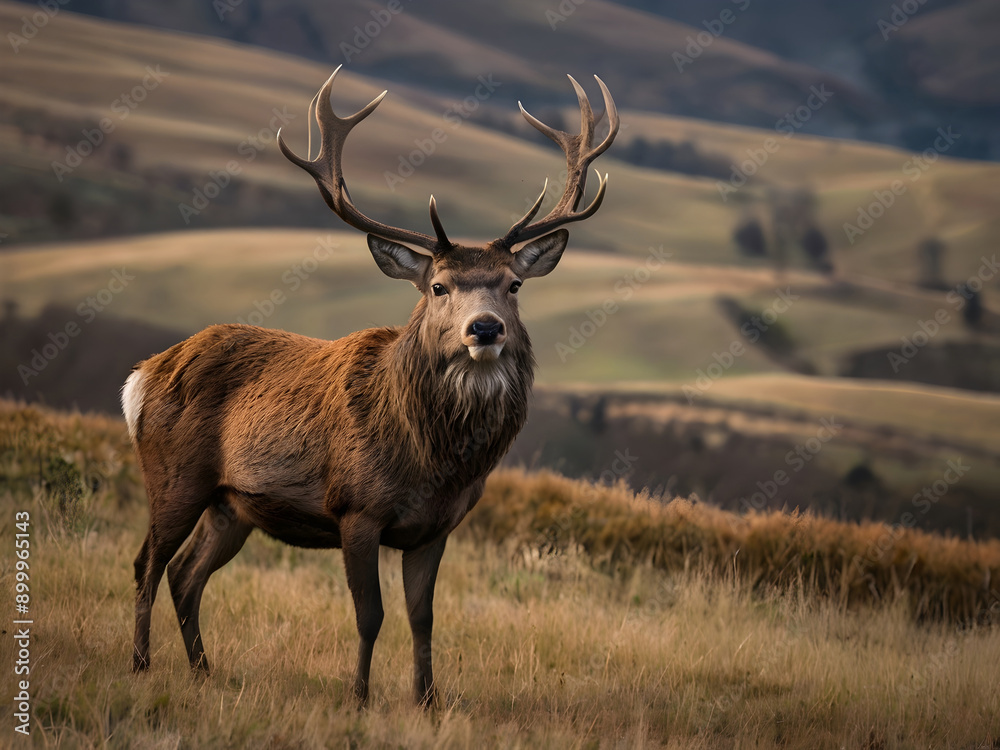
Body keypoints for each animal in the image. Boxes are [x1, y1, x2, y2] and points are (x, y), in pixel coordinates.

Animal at [123, 65, 618, 707]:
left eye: (513, 284)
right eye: (438, 286)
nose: (486, 328)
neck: (433, 460)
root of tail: (142, 375)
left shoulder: (435, 527)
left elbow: (423, 617)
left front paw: (428, 701)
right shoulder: (355, 509)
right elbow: (370, 614)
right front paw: (358, 697)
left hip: (233, 505)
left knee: (186, 575)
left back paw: (205, 671)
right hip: (175, 475)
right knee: (148, 563)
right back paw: (140, 664)